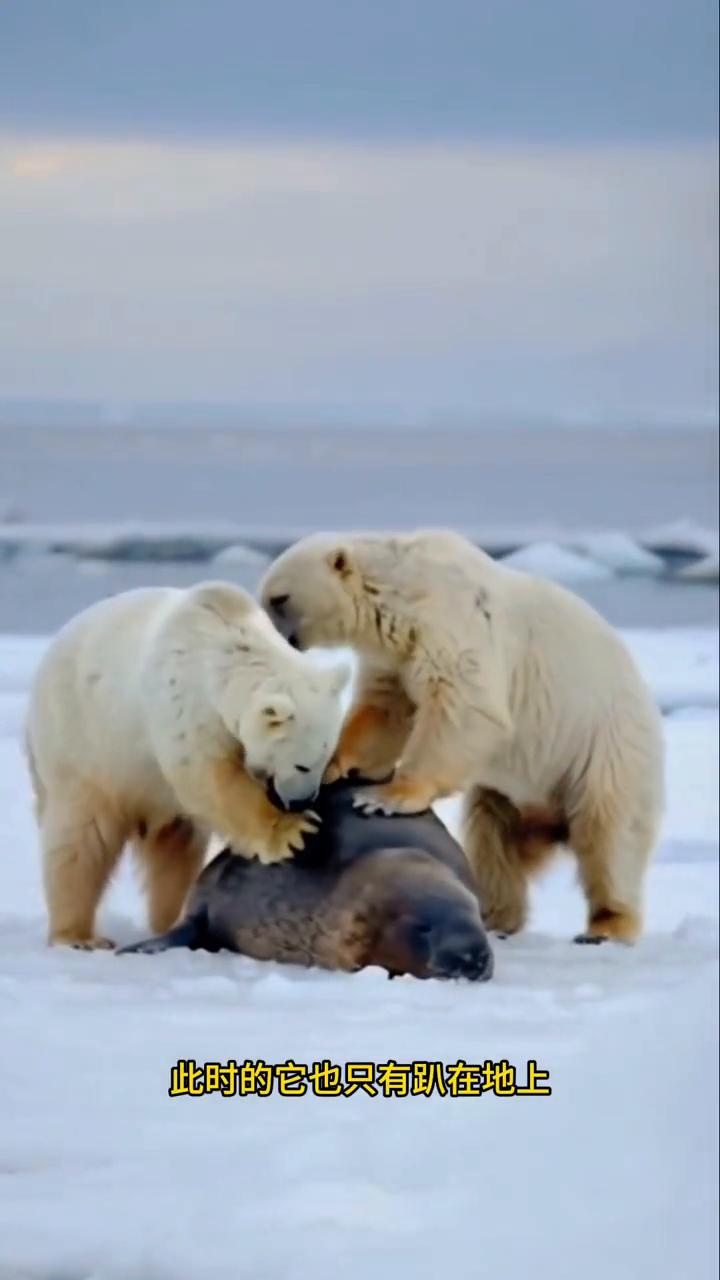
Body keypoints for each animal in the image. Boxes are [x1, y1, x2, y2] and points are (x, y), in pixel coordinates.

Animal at [27, 586, 351, 947]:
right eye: (302, 764)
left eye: (325, 758)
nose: (301, 801)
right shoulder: (183, 703)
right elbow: (209, 780)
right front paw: (294, 832)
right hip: (84, 744)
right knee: (80, 840)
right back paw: (78, 936)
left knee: (176, 853)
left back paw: (168, 918)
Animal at [257, 527, 661, 942]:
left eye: (279, 599)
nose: (276, 640)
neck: (405, 593)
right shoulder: (397, 656)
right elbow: (385, 710)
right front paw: (331, 766)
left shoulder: (452, 624)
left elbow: (463, 706)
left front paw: (387, 797)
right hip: (511, 797)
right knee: (494, 836)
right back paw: (496, 913)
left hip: (605, 750)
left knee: (610, 835)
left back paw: (607, 924)